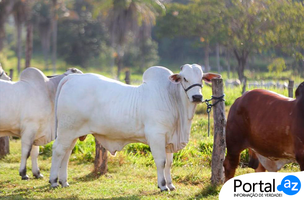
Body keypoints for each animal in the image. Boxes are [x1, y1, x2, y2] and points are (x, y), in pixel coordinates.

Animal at [50, 64, 221, 191]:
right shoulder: (157, 136)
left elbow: (169, 163)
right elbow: (161, 161)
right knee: (58, 150)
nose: (197, 96)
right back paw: (53, 181)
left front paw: (171, 184)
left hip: (72, 133)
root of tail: (71, 78)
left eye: (201, 78)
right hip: (66, 130)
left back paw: (64, 181)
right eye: (184, 78)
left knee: (66, 153)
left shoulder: (169, 140)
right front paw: (163, 186)